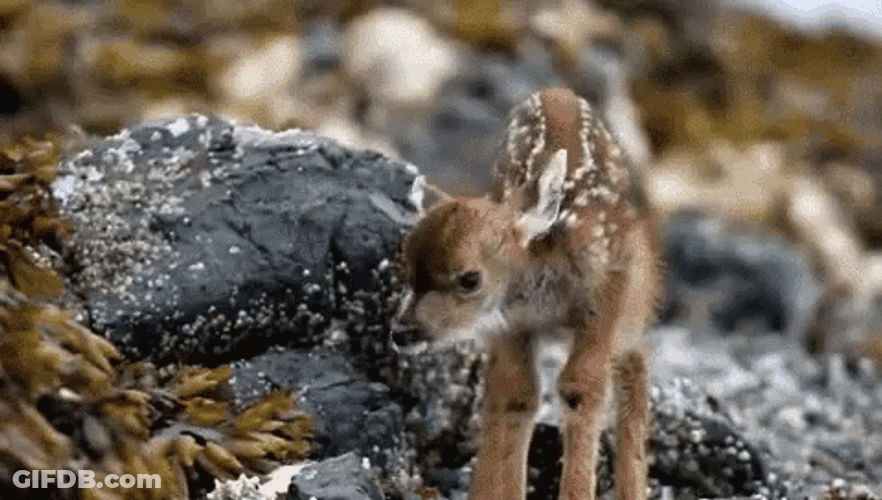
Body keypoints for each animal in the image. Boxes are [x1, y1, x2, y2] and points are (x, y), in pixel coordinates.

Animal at [400, 88, 662, 500]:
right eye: (407, 272)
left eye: (470, 278)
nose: (403, 331)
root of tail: (558, 92)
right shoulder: (510, 324)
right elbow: (516, 395)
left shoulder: (605, 298)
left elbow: (580, 388)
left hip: (636, 299)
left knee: (634, 366)